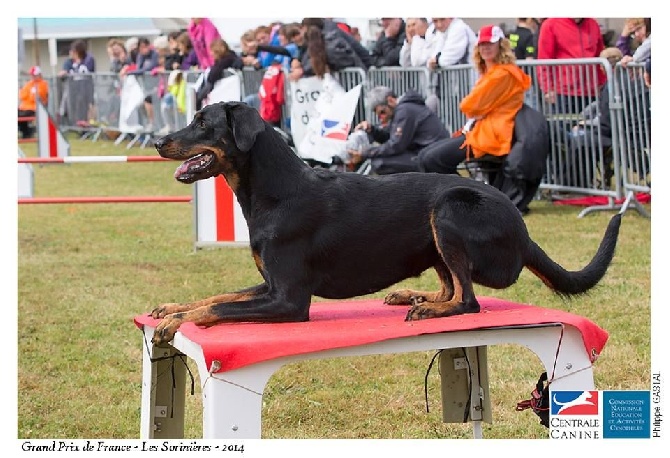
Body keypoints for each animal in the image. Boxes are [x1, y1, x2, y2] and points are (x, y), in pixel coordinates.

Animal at [150, 101, 624, 344]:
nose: (157, 141)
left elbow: (218, 307)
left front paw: (177, 322)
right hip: (437, 233)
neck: (274, 191)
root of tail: (523, 232)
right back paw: (415, 296)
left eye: (202, 123)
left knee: (468, 299)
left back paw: (428, 309)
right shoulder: (269, 284)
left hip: (450, 208)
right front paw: (173, 309)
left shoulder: (289, 300)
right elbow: (217, 295)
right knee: (451, 284)